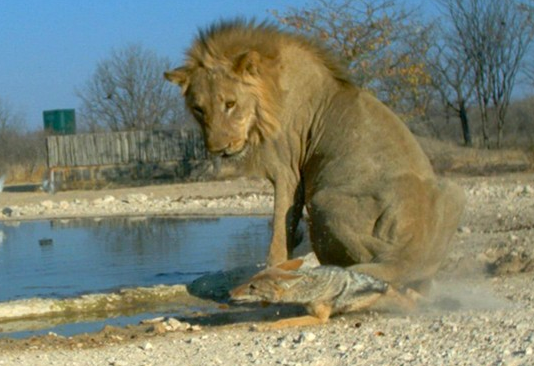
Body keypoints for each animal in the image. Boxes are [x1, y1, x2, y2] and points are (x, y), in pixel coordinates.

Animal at [165, 20, 466, 294]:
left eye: (230, 104)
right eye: (198, 109)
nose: (219, 148)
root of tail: (405, 255)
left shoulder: (287, 171)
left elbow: (279, 230)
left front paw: (271, 269)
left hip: (322, 199)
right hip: (453, 190)